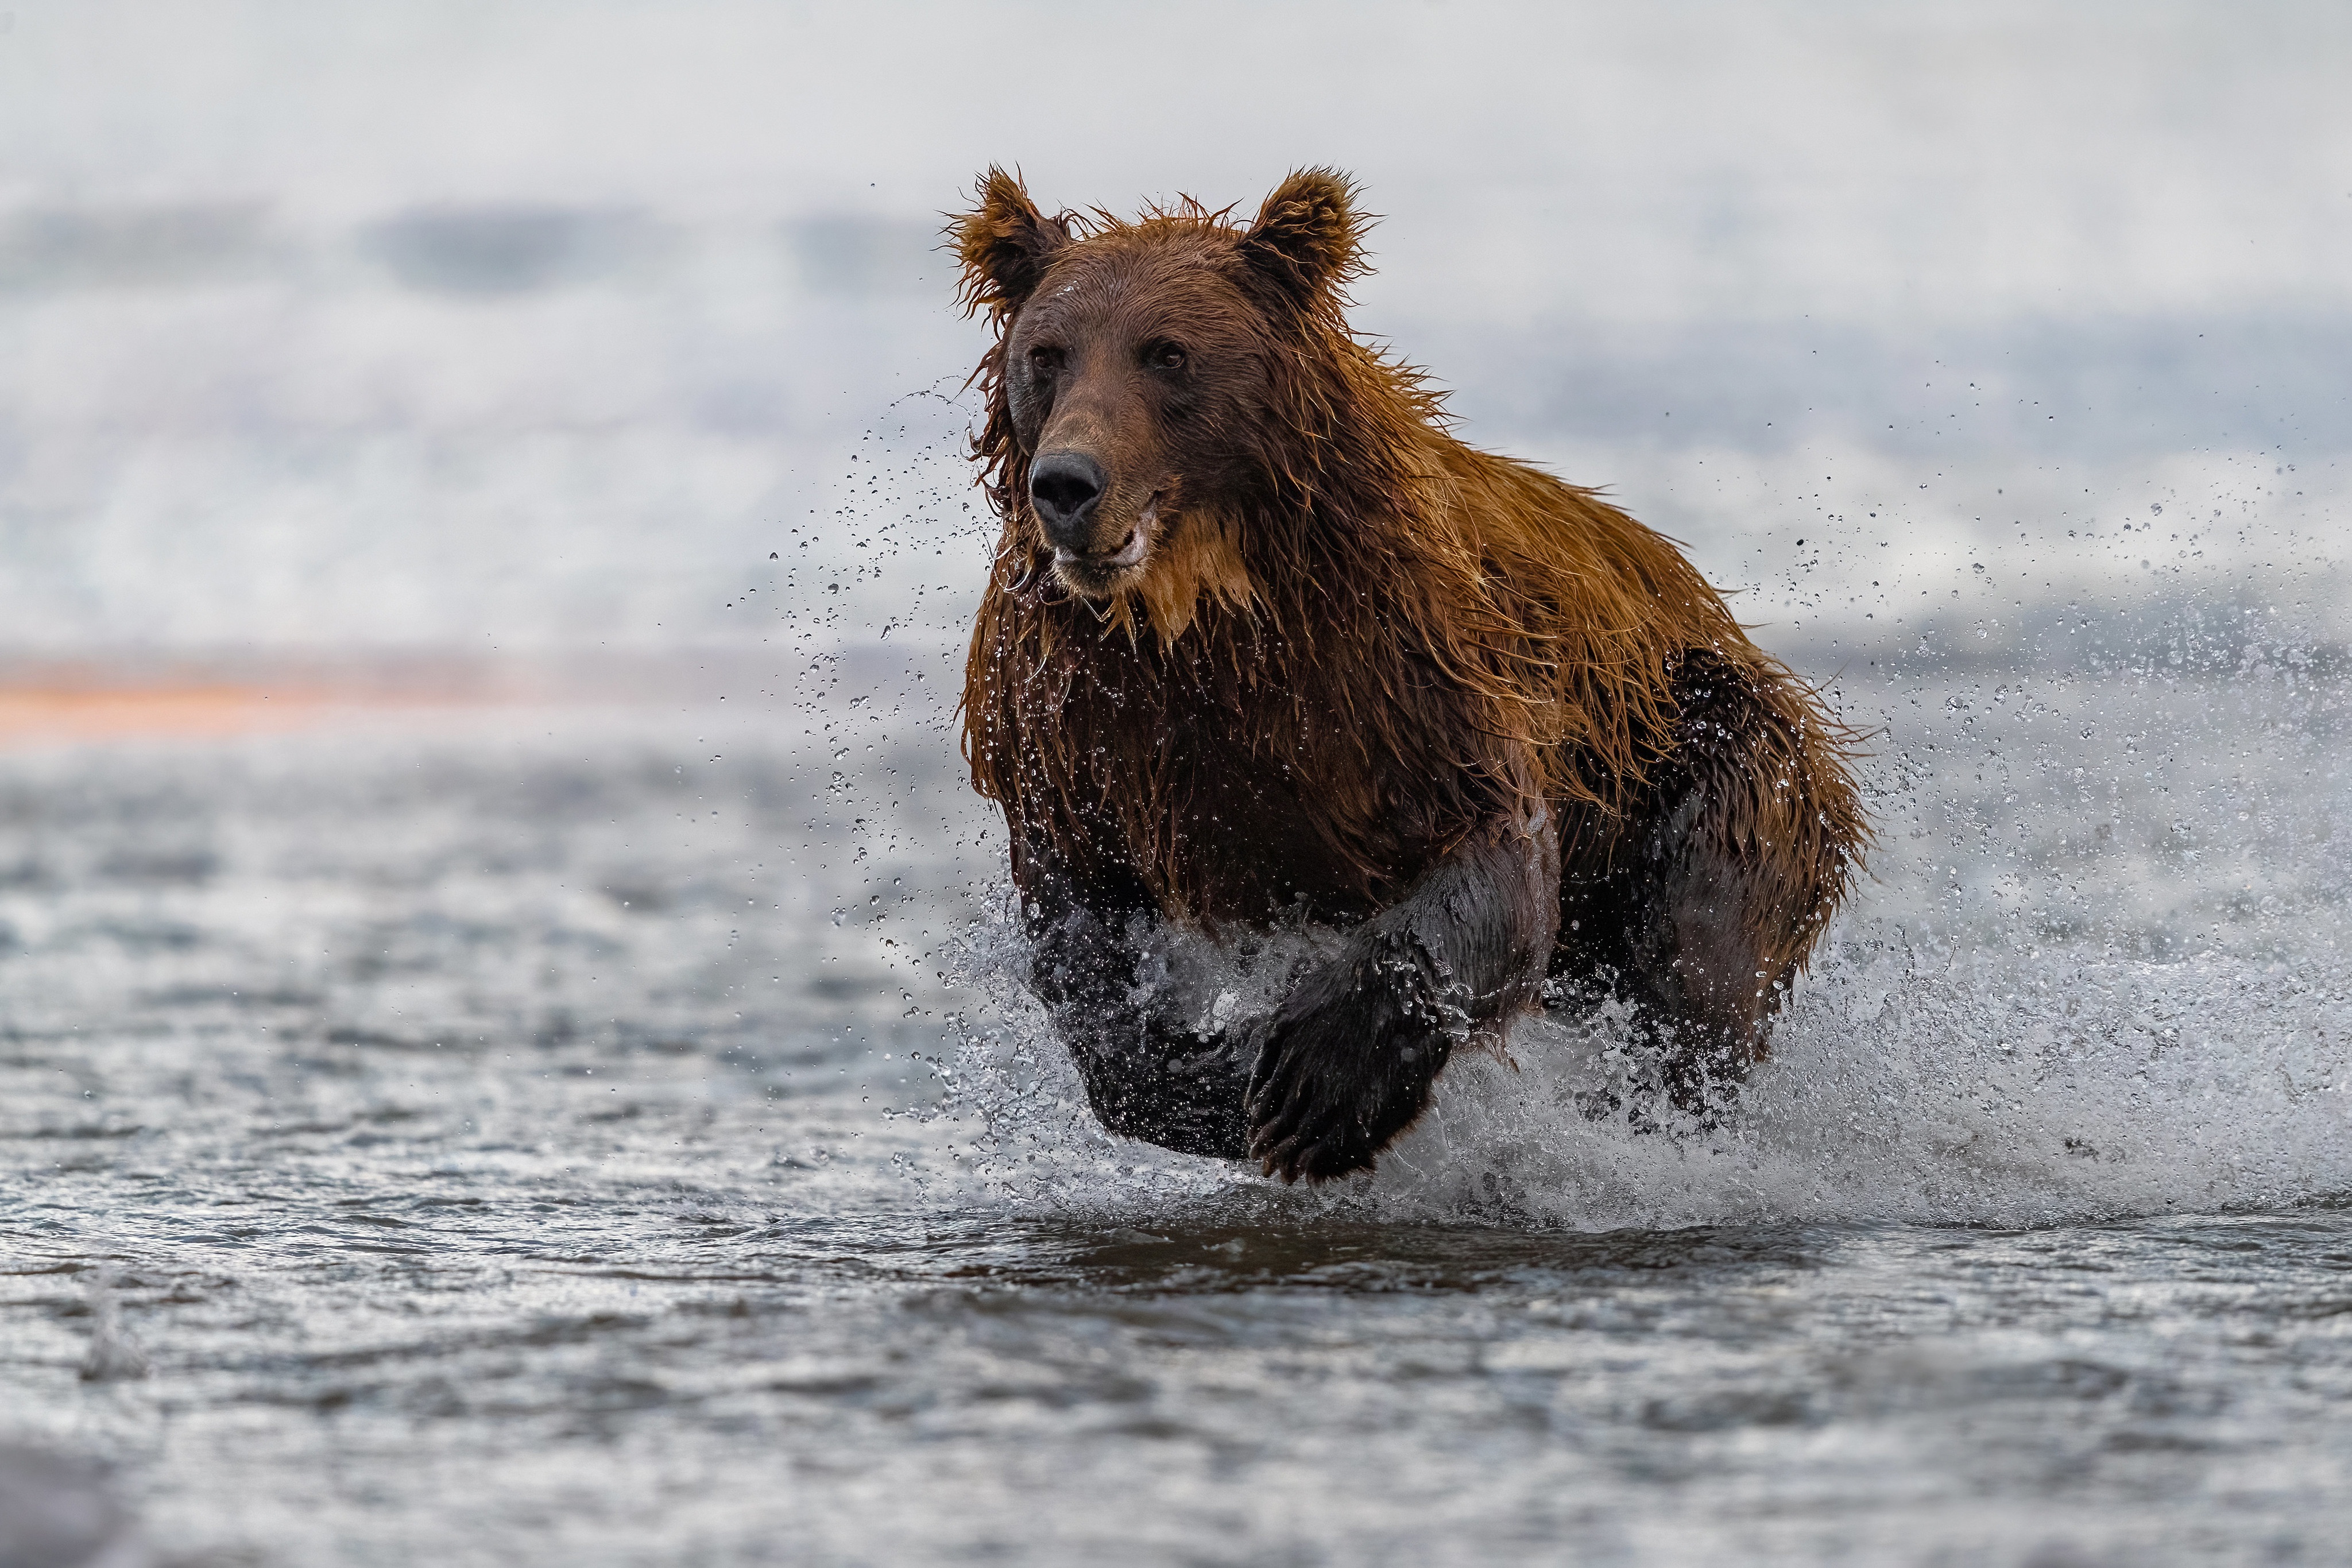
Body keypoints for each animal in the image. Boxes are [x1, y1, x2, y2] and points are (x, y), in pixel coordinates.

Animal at [950, 167, 1867, 1183]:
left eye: (1167, 353)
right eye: (1048, 354)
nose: (1068, 483)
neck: (1202, 613)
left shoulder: (1409, 669)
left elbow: (1495, 862)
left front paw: (1317, 1084)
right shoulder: (1077, 730)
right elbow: (1084, 936)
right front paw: (1215, 1078)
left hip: (1709, 745)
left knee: (1699, 953)